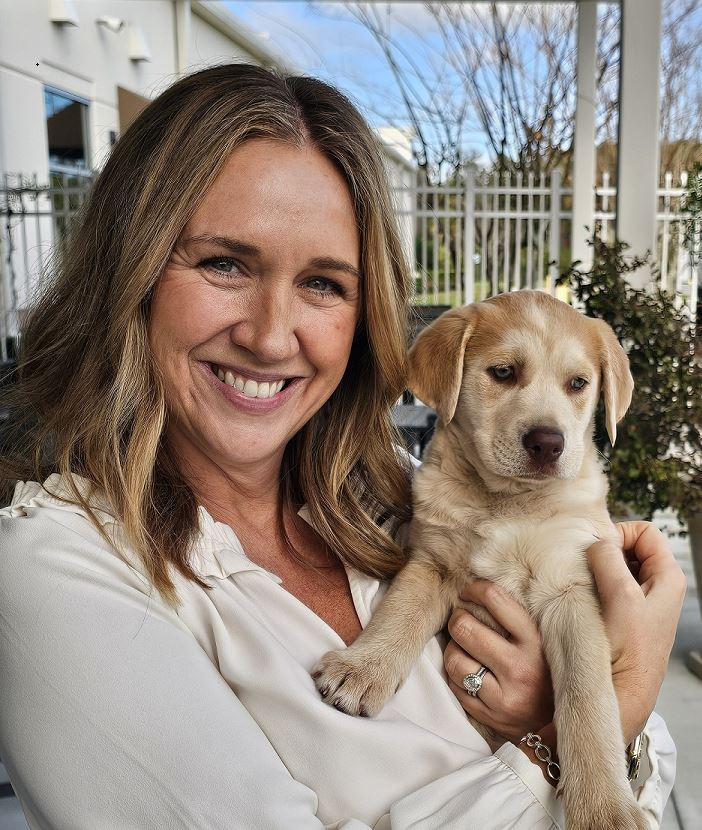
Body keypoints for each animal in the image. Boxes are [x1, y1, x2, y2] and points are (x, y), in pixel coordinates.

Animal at [314, 292, 648, 830]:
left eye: (578, 384)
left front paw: (606, 809)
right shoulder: (433, 562)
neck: (508, 504)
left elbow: (587, 698)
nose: (548, 442)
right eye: (503, 372)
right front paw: (363, 668)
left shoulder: (572, 589)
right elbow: (399, 615)